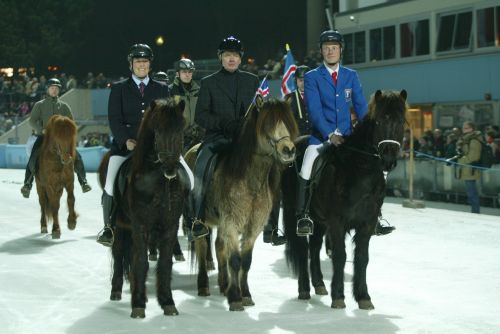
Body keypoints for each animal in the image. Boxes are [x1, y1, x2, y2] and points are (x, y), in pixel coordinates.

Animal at [97, 97, 189, 318]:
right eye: (157, 129)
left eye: (181, 128)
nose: (170, 168)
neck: (158, 182)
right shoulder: (140, 225)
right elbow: (140, 261)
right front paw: (138, 305)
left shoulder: (170, 225)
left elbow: (164, 263)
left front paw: (167, 302)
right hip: (120, 227)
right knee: (119, 253)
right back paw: (117, 291)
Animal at [193, 98, 298, 312]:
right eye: (267, 124)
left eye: (288, 122)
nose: (289, 150)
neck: (250, 180)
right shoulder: (232, 223)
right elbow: (235, 260)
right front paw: (235, 298)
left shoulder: (252, 228)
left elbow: (246, 261)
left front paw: (246, 295)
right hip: (201, 221)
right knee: (201, 247)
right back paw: (203, 286)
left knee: (218, 246)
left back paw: (224, 284)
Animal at [282, 89, 406, 310]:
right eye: (379, 121)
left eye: (401, 121)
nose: (388, 160)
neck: (360, 169)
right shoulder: (338, 222)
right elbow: (340, 256)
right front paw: (339, 296)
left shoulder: (367, 223)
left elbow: (362, 258)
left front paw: (363, 297)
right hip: (294, 213)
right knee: (303, 249)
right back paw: (304, 289)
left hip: (319, 220)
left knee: (314, 248)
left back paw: (319, 284)